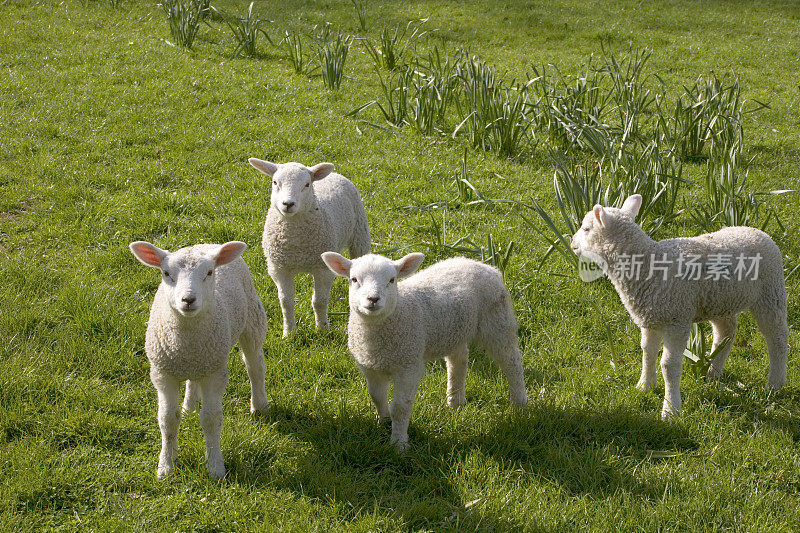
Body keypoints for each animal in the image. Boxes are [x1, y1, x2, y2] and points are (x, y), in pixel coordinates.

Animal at [129, 241, 268, 478]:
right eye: (166, 273)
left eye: (209, 272)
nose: (188, 300)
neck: (186, 340)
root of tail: (207, 243)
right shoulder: (162, 373)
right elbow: (167, 419)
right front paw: (166, 466)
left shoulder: (215, 373)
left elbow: (211, 420)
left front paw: (215, 467)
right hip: (199, 361)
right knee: (193, 381)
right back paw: (190, 406)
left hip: (252, 317)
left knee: (254, 365)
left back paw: (259, 405)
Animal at [248, 156, 370, 336]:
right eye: (275, 182)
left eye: (306, 184)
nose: (288, 204)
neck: (296, 243)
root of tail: (335, 174)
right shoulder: (279, 269)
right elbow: (286, 302)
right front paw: (289, 333)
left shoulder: (323, 269)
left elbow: (319, 301)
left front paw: (322, 329)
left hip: (360, 234)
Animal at [318, 252, 532, 448]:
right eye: (354, 279)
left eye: (392, 280)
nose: (373, 299)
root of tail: (482, 265)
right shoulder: (369, 367)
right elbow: (377, 397)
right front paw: (384, 422)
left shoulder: (409, 364)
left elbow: (400, 407)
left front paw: (399, 443)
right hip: (454, 330)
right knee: (458, 361)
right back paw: (455, 401)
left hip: (497, 320)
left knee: (511, 361)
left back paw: (519, 403)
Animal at [568, 193, 788, 418]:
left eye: (586, 228)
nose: (572, 243)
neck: (647, 265)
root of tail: (758, 232)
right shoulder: (650, 318)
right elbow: (647, 352)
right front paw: (644, 386)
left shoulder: (677, 320)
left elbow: (669, 365)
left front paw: (670, 408)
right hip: (721, 300)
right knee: (726, 332)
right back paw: (713, 373)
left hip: (770, 293)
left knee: (777, 338)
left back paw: (774, 384)